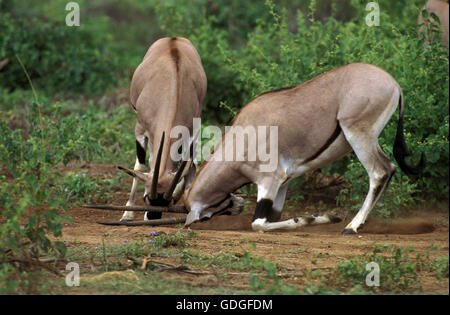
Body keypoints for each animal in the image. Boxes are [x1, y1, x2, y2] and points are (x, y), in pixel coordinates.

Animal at [118, 37, 206, 223]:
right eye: (146, 198)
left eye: (168, 201)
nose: (153, 218)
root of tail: (174, 39)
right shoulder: (140, 129)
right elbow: (140, 167)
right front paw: (127, 212)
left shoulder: (190, 131)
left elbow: (189, 165)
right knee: (149, 160)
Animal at [176, 62, 422, 235]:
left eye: (205, 217)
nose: (238, 205)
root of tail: (394, 84)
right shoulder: (283, 183)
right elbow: (272, 219)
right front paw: (323, 217)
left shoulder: (269, 180)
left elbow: (258, 224)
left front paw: (314, 219)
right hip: (370, 139)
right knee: (390, 168)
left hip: (359, 136)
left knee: (379, 172)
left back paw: (352, 226)